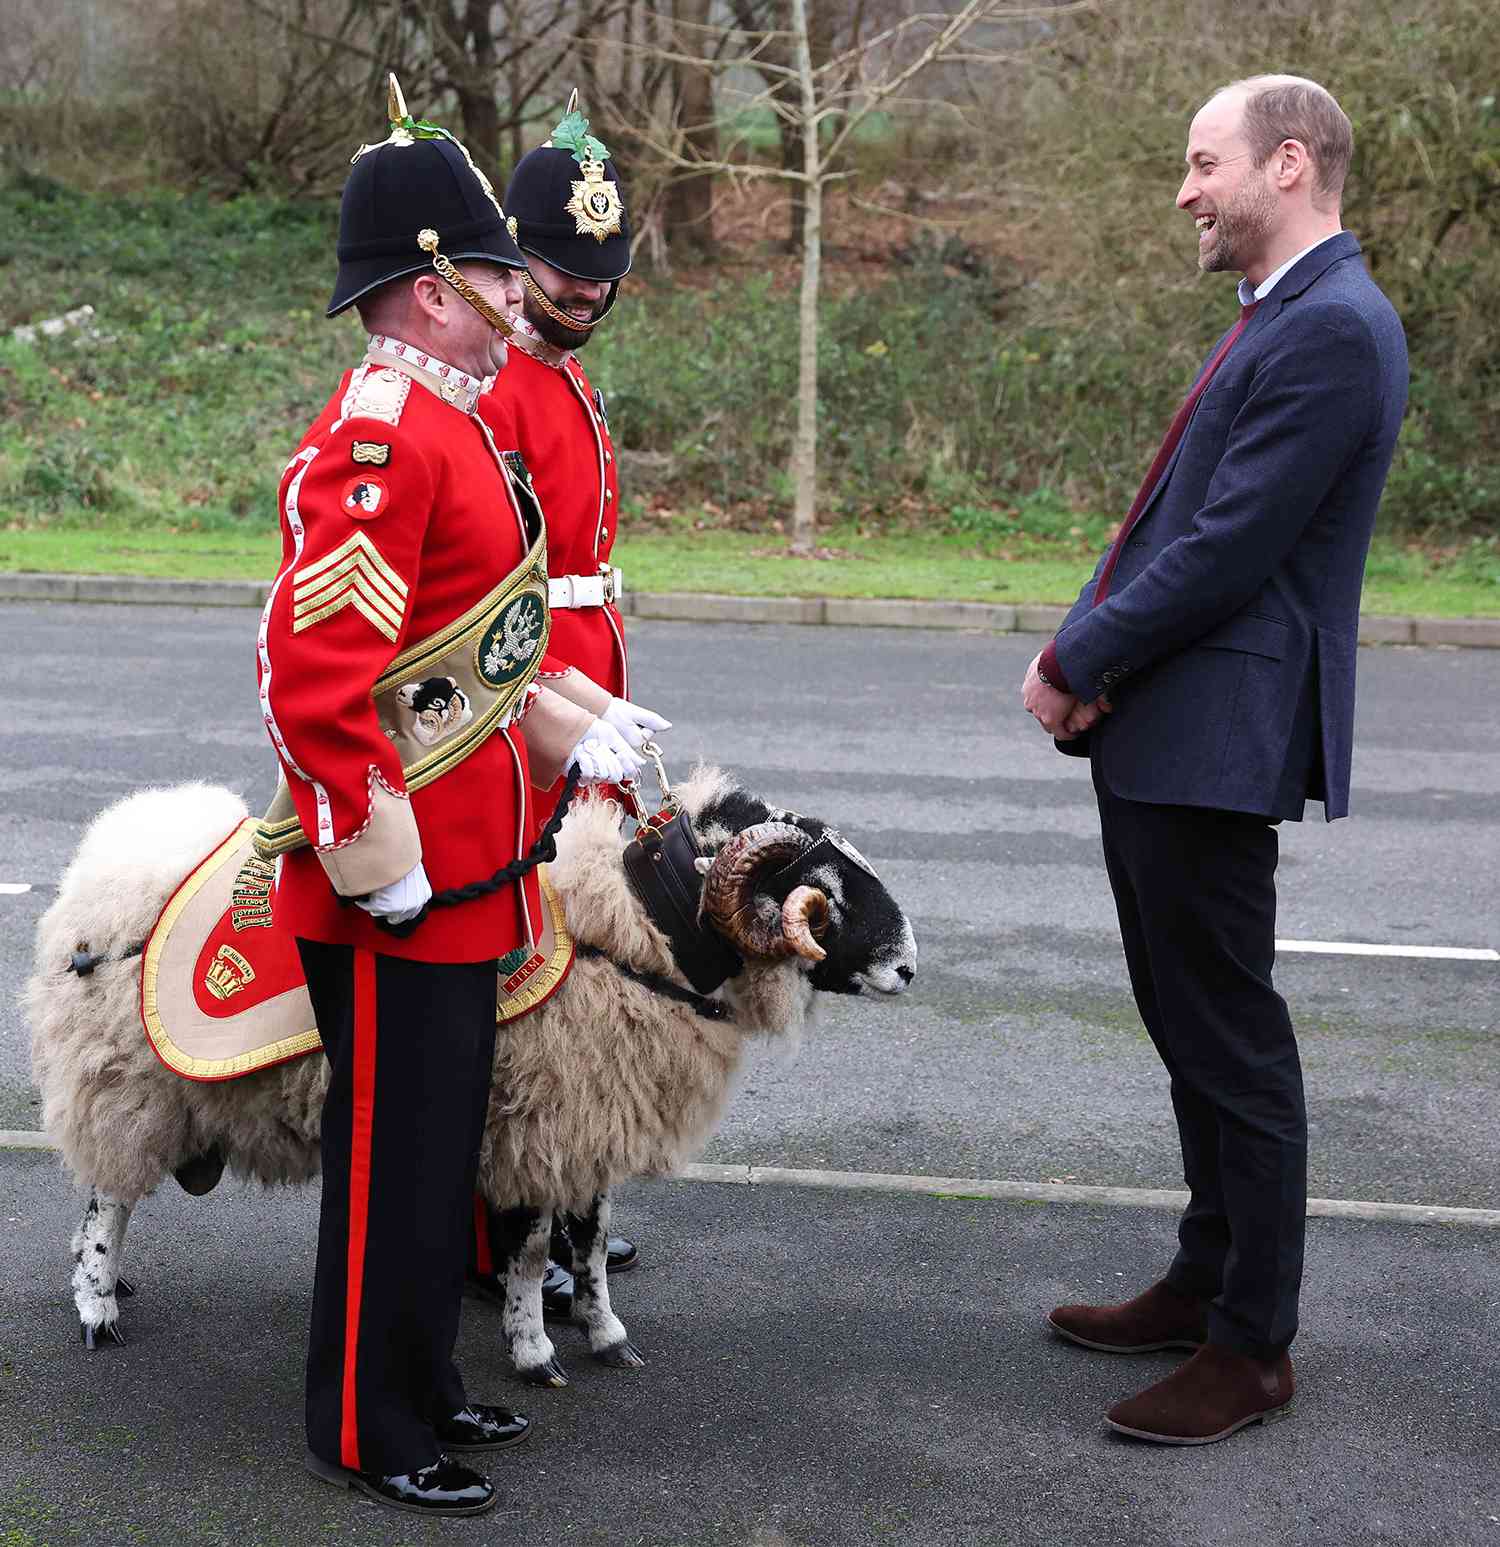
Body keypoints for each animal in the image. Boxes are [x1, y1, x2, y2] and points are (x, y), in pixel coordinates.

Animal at [26, 767, 909, 1386]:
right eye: (822, 895)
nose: (907, 967)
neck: (630, 938)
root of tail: (103, 853)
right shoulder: (533, 1130)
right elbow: (530, 1248)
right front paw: (535, 1350)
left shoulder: (589, 1120)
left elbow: (590, 1240)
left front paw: (606, 1334)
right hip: (128, 1082)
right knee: (108, 1198)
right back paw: (96, 1301)